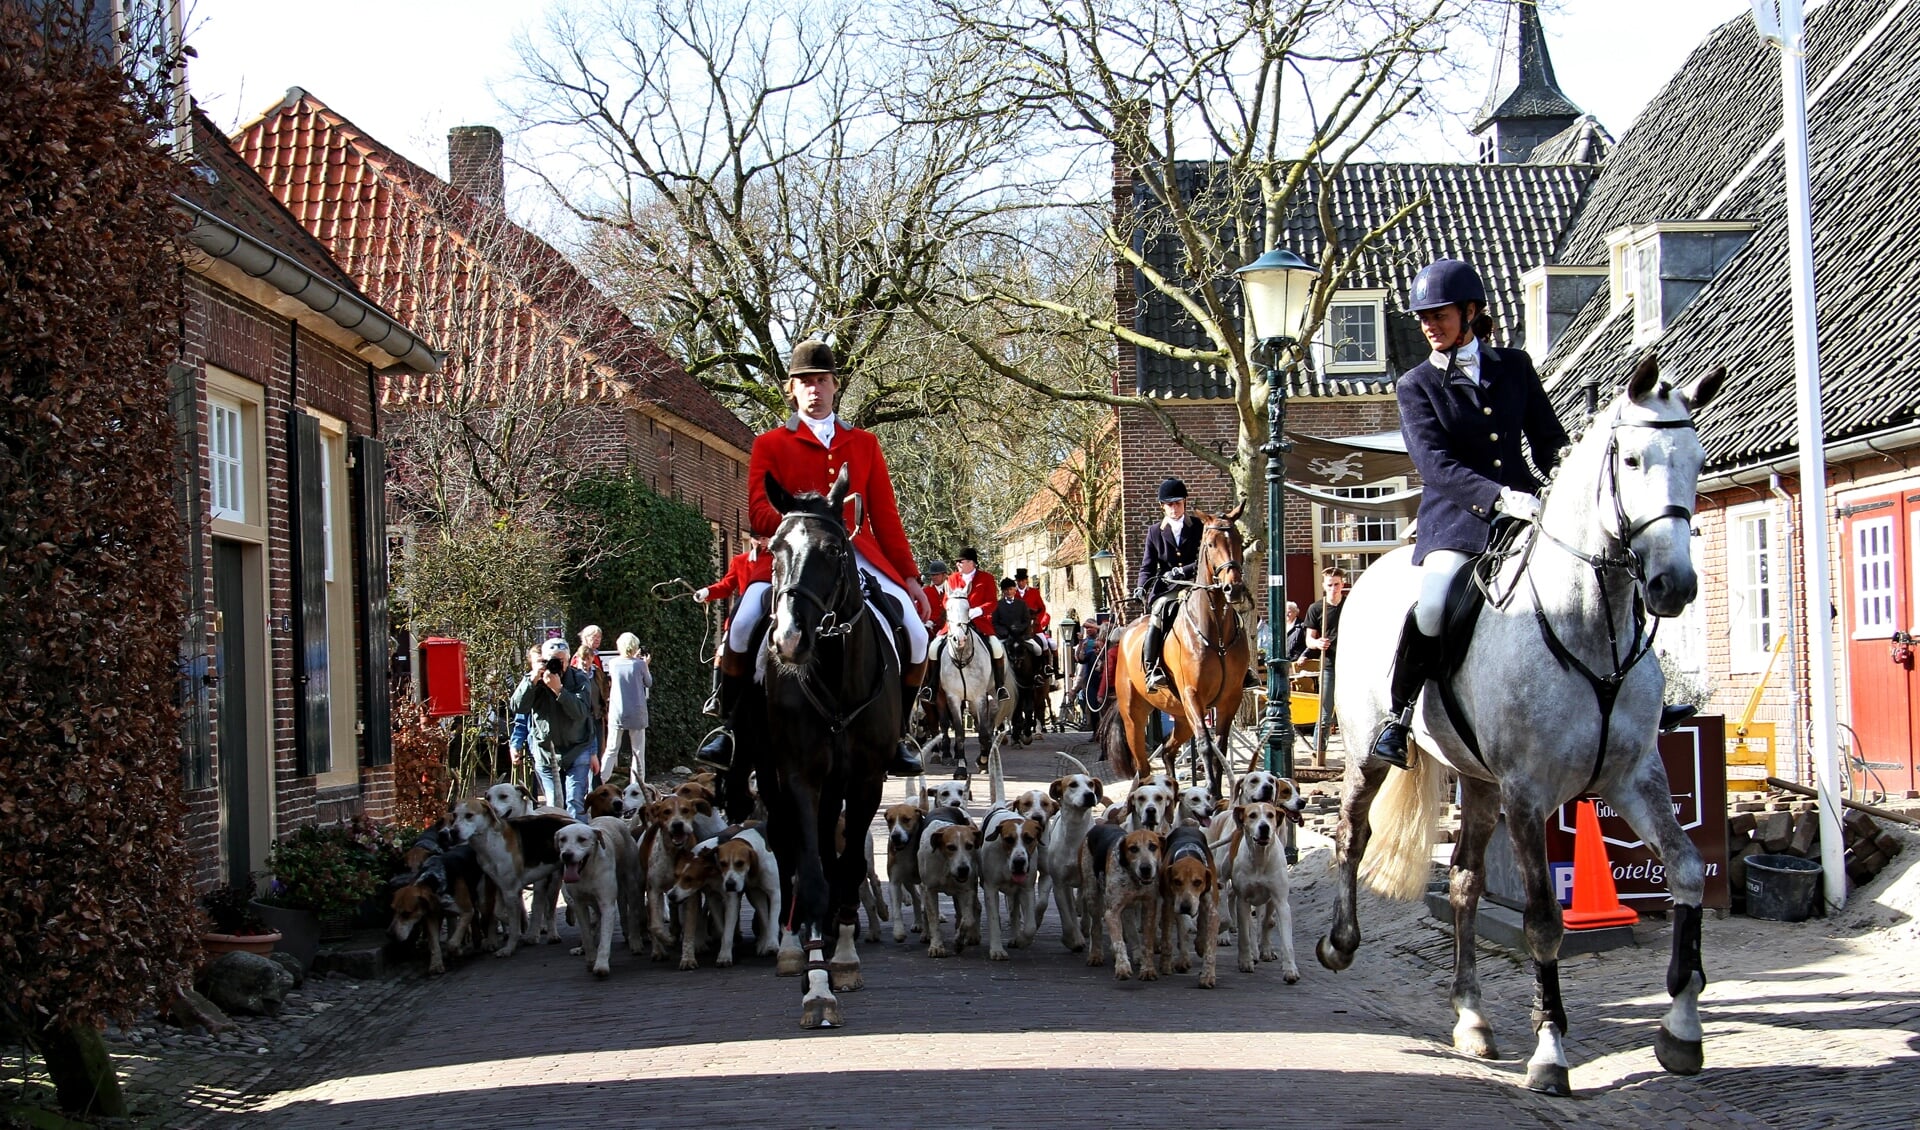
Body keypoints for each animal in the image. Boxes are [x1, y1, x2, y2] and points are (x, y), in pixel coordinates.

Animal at [752, 462, 894, 1028]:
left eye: (834, 551)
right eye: (774, 548)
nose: (789, 640)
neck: (833, 675)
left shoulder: (867, 780)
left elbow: (849, 866)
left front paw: (845, 957)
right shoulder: (798, 776)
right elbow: (811, 874)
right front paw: (816, 984)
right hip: (772, 778)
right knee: (788, 850)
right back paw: (793, 946)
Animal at [936, 590, 1013, 801]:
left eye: (968, 608)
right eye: (947, 608)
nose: (959, 639)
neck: (962, 657)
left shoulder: (979, 697)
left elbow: (985, 731)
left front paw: (984, 760)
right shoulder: (953, 698)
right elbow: (960, 733)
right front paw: (960, 768)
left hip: (991, 696)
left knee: (987, 725)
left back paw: (985, 756)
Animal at [1105, 506, 1251, 798]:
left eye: (1239, 541)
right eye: (1210, 544)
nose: (1234, 588)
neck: (1216, 630)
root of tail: (1125, 634)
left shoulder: (1230, 698)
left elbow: (1220, 744)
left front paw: (1220, 793)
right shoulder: (1192, 695)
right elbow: (1206, 743)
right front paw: (1213, 791)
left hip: (1181, 716)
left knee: (1168, 750)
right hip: (1135, 717)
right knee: (1143, 766)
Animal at [1320, 354, 1728, 1089]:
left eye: (1698, 460)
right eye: (1631, 459)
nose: (1674, 586)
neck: (1591, 625)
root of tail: (1372, 570)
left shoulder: (1635, 777)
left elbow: (1685, 870)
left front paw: (1682, 1029)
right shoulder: (1529, 795)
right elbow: (1542, 920)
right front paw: (1550, 1054)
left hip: (1479, 785)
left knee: (1463, 882)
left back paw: (1473, 1018)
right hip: (1370, 754)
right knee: (1351, 835)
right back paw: (1340, 944)